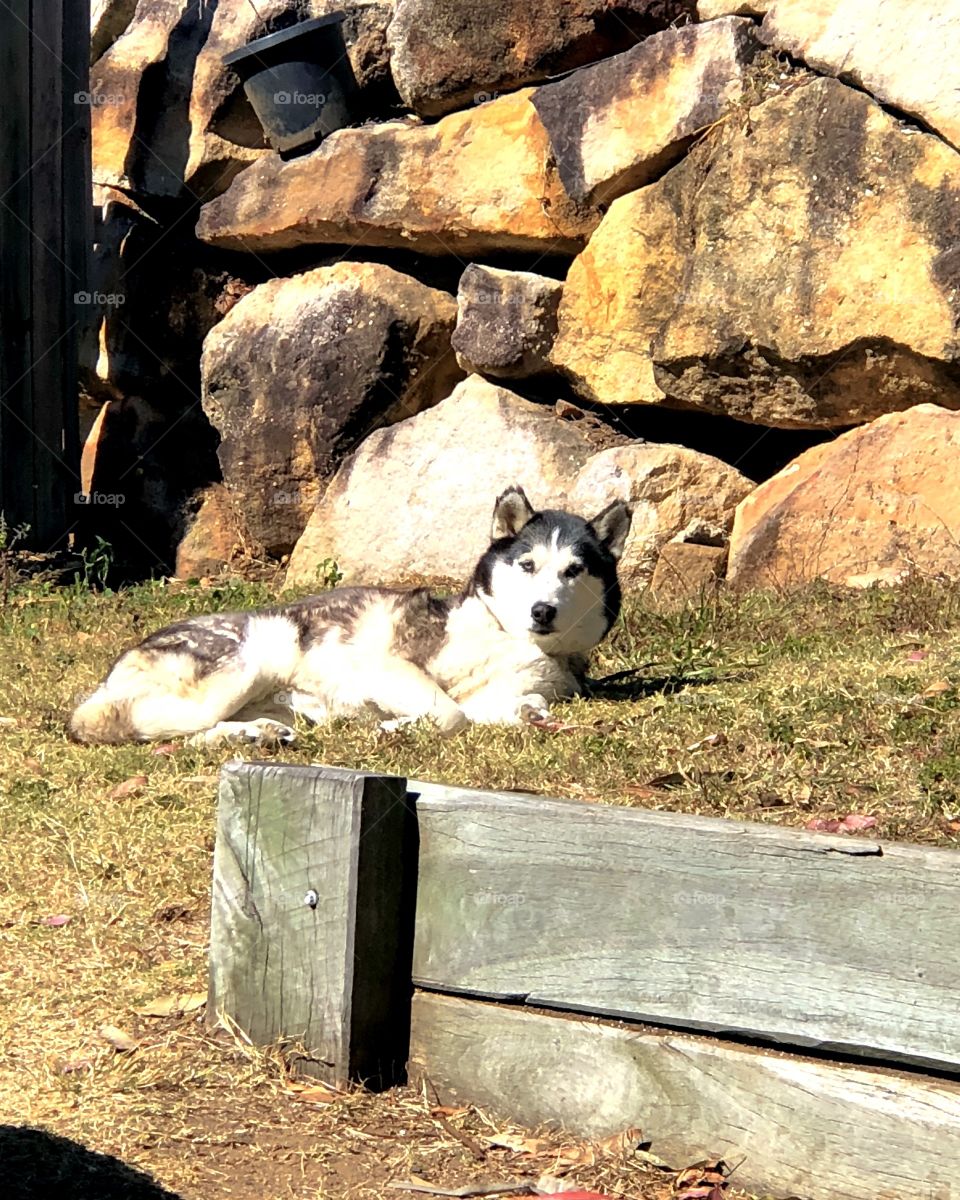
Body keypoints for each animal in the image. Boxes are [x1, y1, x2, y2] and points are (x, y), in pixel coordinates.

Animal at [71, 484, 633, 744]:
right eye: (528, 564)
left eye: (573, 570)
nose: (542, 610)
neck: (511, 639)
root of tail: (119, 665)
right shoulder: (389, 665)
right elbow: (449, 714)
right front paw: (397, 727)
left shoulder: (519, 693)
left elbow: (512, 707)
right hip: (254, 656)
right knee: (137, 722)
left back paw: (251, 734)